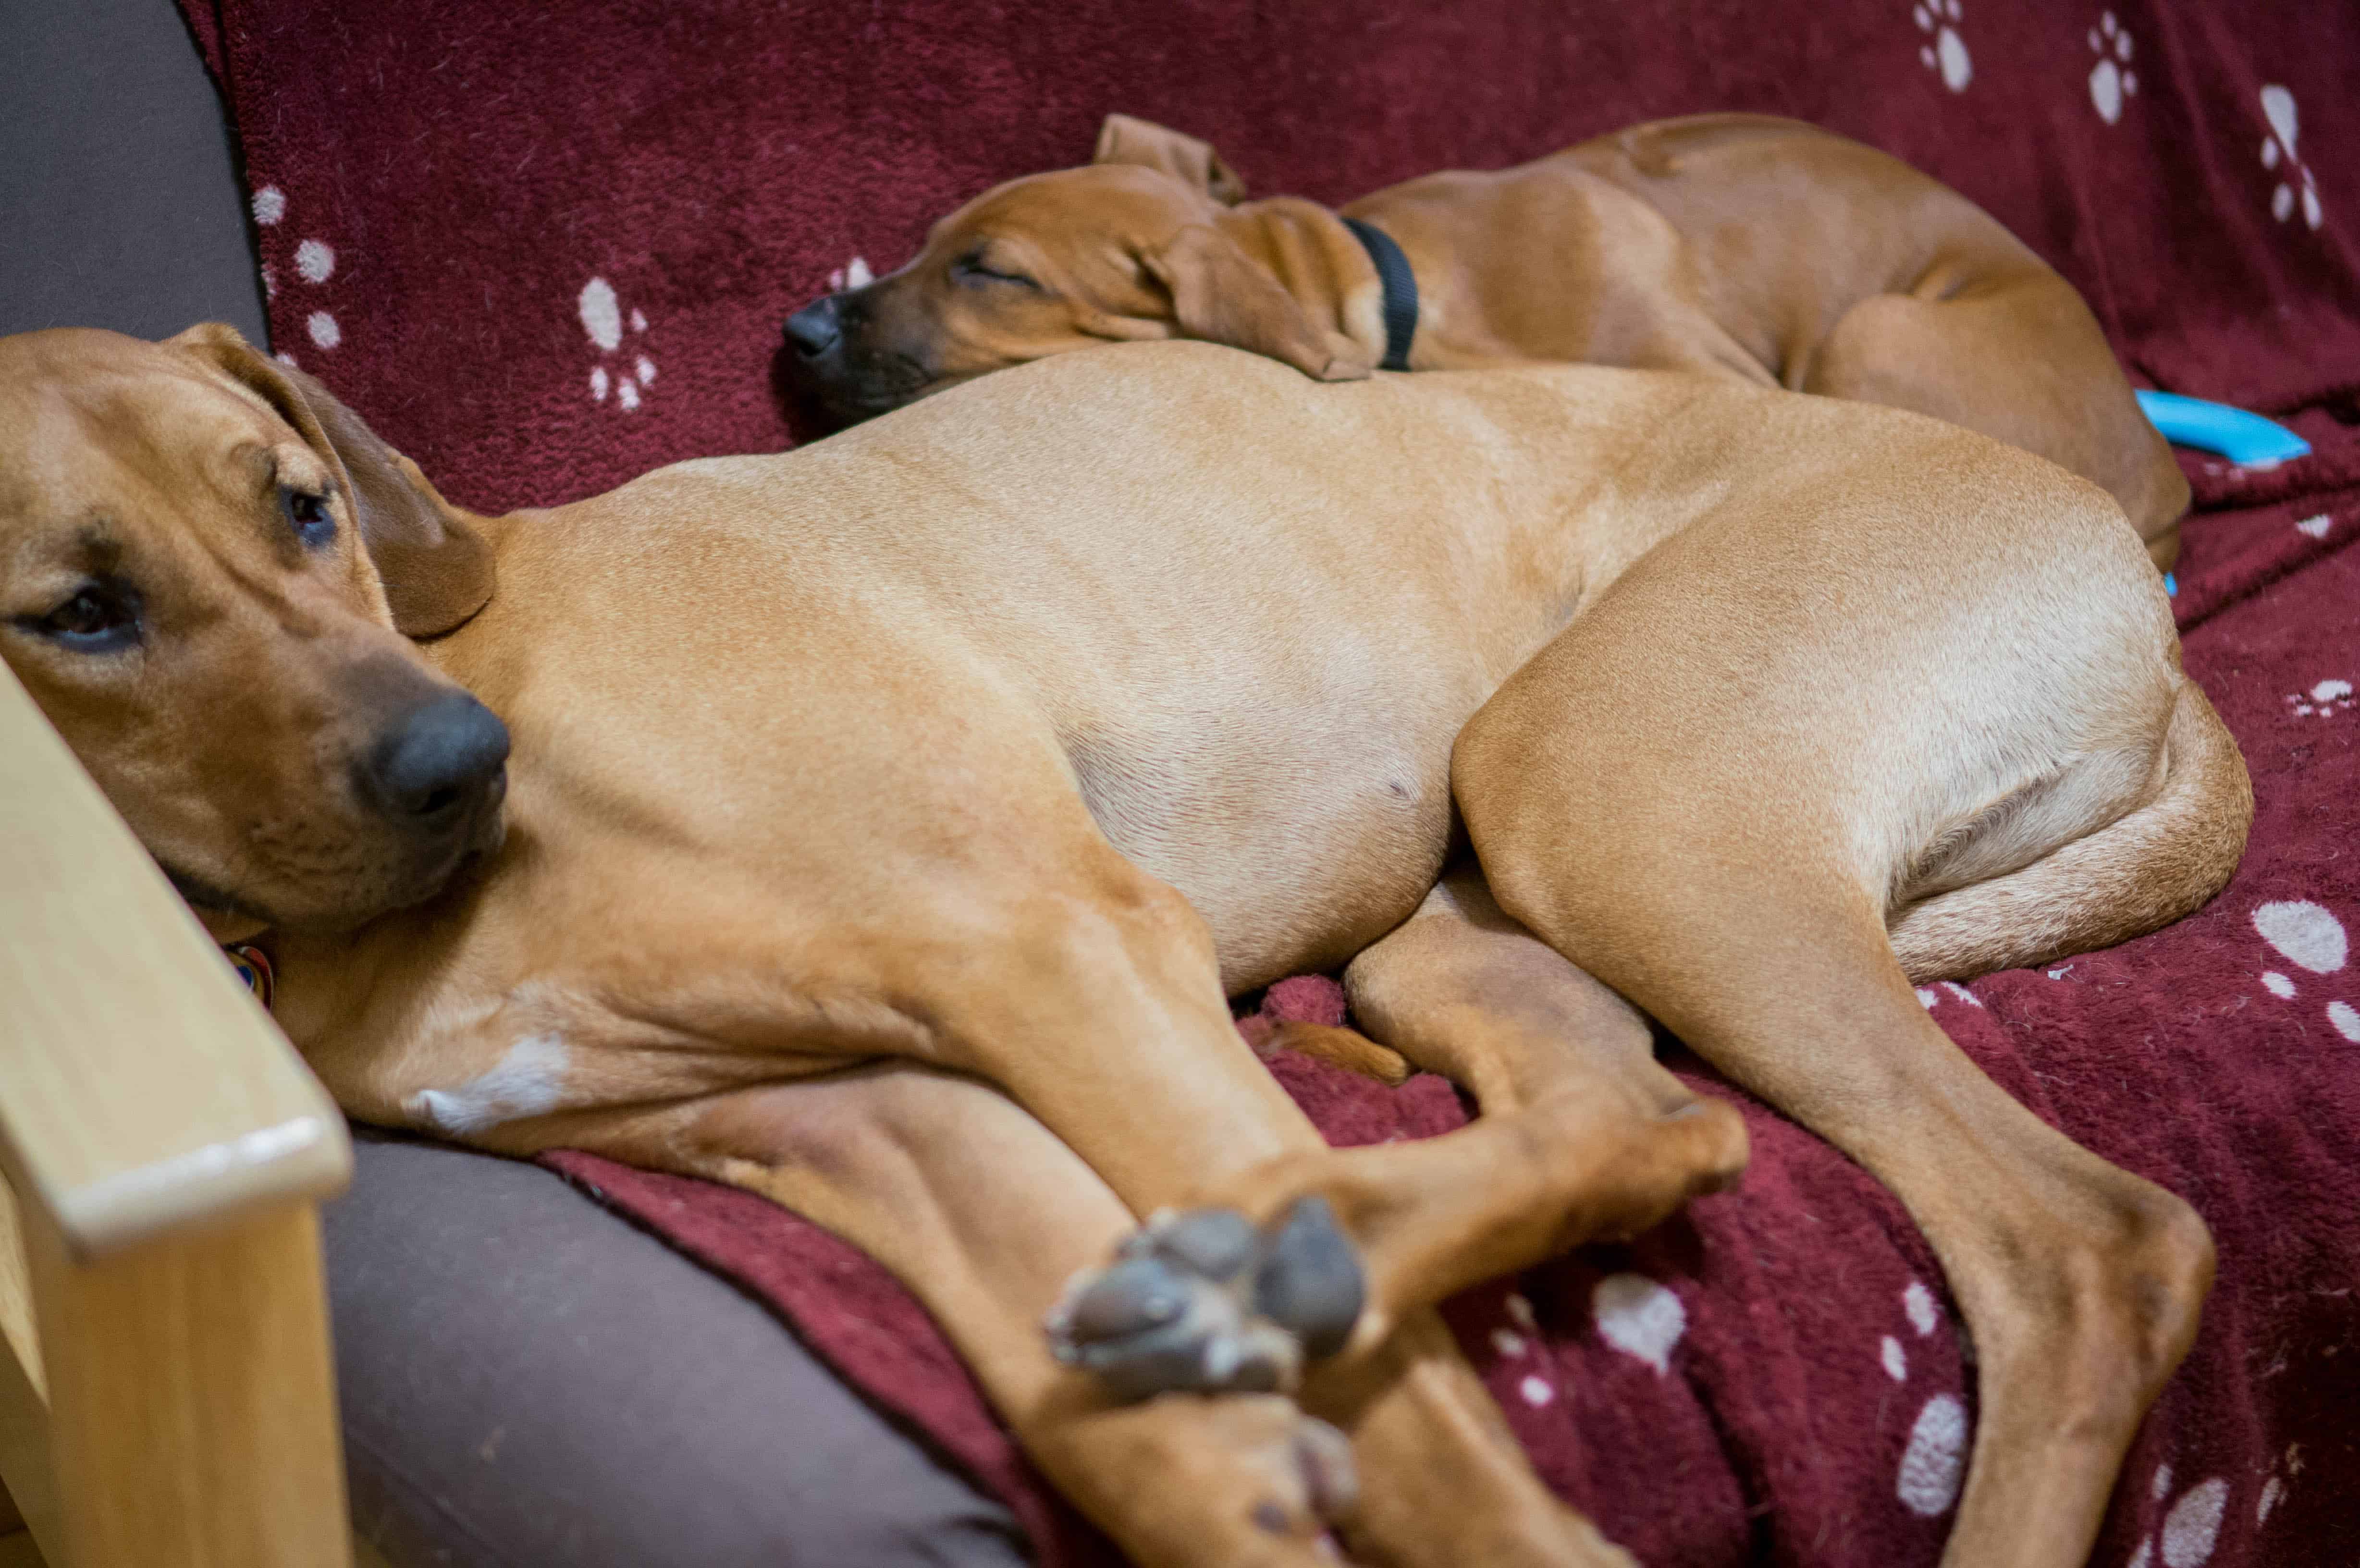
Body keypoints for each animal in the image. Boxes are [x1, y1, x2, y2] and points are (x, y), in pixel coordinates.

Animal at [4, 328, 2247, 1568]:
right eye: (76, 613)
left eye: (303, 504)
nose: (453, 761)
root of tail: (2142, 595)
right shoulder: (872, 1119)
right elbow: (1137, 1414)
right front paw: (1229, 1457)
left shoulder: (1048, 946)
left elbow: (1416, 1427)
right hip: (1462, 930)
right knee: (1641, 1124)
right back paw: (1245, 1279)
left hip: (1610, 803)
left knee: (2092, 1241)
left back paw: (1262, 1274)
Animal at [788, 110, 2190, 566]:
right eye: (930, 237)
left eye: (991, 274)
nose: (795, 328)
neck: (1401, 285)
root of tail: (2167, 478)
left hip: (1877, 330)